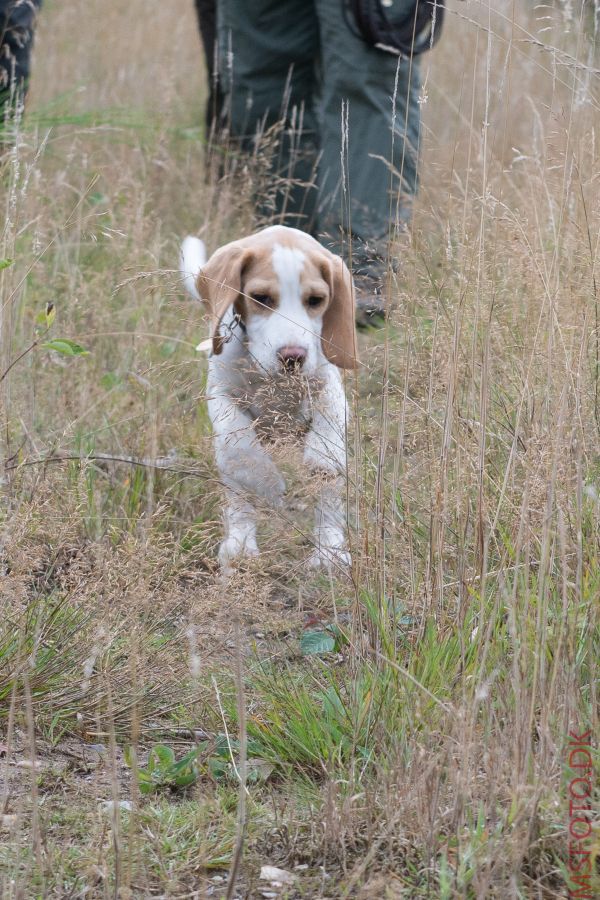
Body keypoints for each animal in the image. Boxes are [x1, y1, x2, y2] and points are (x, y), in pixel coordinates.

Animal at [178, 229, 356, 572]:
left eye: (316, 301)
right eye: (261, 298)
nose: (293, 357)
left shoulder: (328, 387)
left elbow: (325, 457)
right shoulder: (221, 393)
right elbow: (240, 447)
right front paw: (266, 483)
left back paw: (329, 552)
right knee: (237, 495)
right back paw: (240, 545)